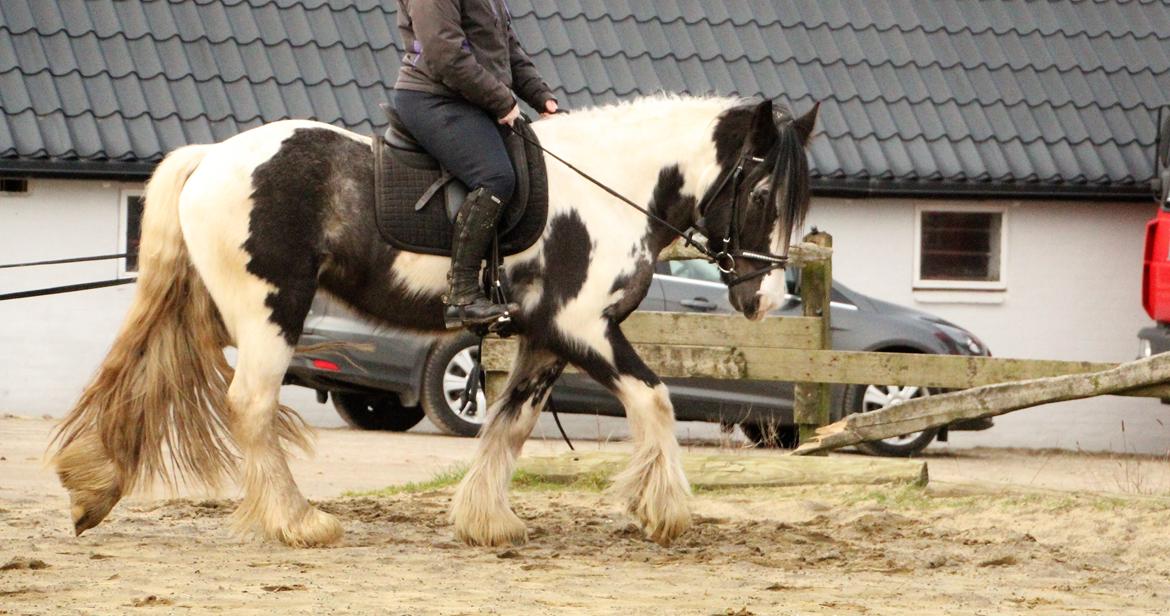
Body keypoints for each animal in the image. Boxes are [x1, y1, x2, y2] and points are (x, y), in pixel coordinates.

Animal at [54, 94, 819, 548]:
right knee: (250, 403)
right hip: (269, 311)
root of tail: (214, 158)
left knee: (160, 378)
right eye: (760, 192)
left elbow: (510, 422)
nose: (764, 300)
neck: (609, 191)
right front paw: (664, 512)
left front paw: (489, 521)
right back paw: (300, 523)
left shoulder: (546, 338)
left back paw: (96, 492)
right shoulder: (583, 327)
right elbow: (654, 399)